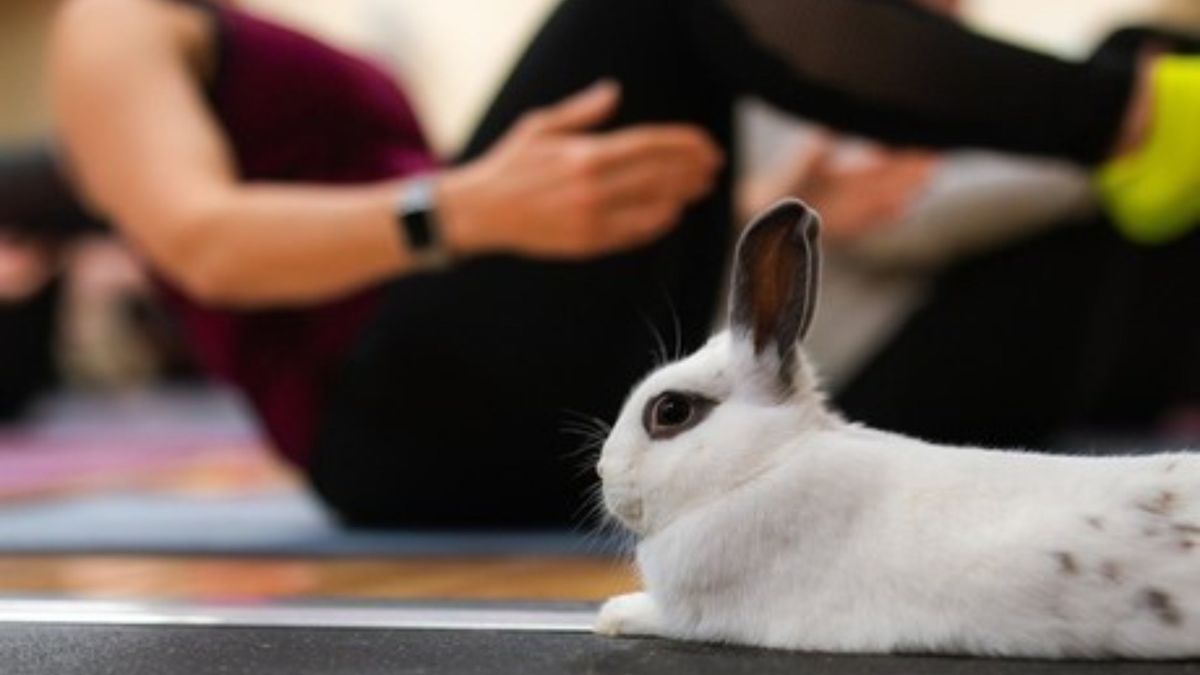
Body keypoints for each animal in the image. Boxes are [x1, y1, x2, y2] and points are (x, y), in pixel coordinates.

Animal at [597, 196, 1200, 653]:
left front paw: (610, 614)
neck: (766, 462)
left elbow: (652, 614)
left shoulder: (695, 610)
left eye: (671, 412)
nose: (604, 473)